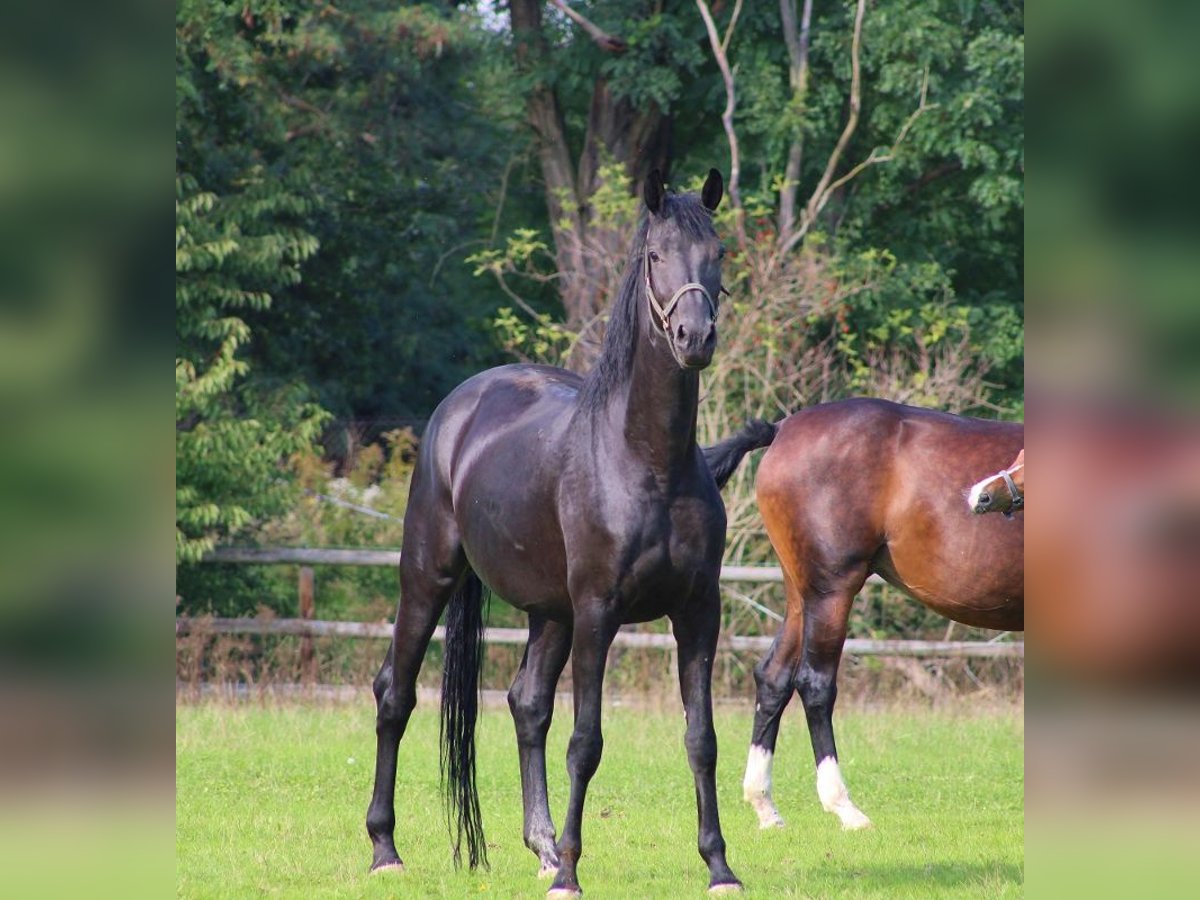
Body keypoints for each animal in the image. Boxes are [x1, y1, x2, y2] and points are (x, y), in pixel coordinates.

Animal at [364, 168, 739, 897]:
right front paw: (571, 870)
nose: (694, 337)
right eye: (655, 255)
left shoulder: (697, 612)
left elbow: (701, 739)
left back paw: (539, 845)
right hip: (430, 576)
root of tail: (462, 403)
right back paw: (385, 847)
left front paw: (718, 865)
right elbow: (586, 742)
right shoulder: (598, 612)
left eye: (719, 254)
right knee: (395, 694)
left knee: (526, 704)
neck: (647, 460)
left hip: (549, 613)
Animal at [734, 398, 1027, 835]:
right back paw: (844, 807)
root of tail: (782, 428)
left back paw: (765, 805)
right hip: (831, 593)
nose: (983, 497)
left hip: (801, 596)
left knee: (773, 678)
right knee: (815, 684)